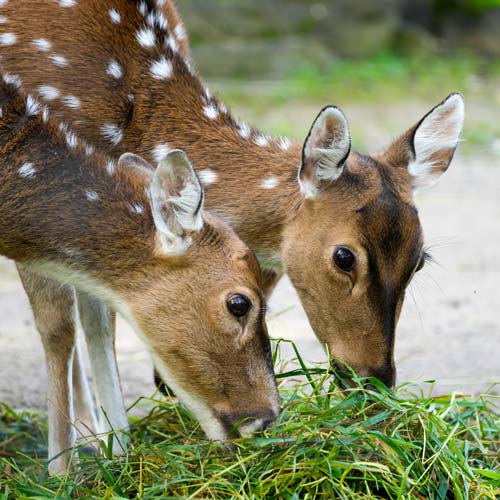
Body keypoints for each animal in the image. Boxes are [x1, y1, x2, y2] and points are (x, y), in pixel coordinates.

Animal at [0, 76, 278, 474]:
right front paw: (62, 473)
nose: (267, 417)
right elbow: (58, 327)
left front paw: (118, 453)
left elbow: (95, 322)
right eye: (239, 303)